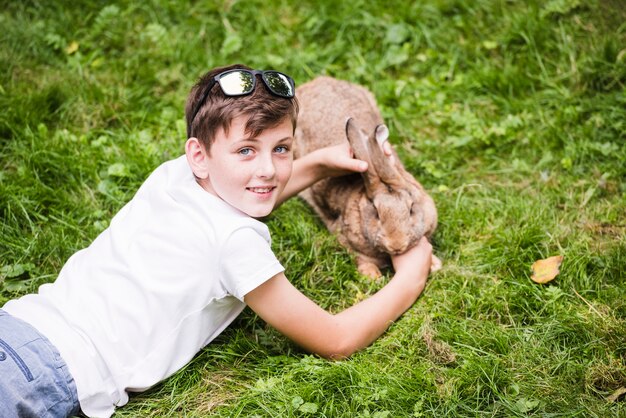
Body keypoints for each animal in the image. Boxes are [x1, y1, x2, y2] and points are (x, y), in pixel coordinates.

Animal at [294, 76, 436, 280]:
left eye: (411, 209)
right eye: (376, 212)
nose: (396, 244)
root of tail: (318, 81)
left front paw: (435, 264)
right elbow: (362, 260)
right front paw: (373, 277)